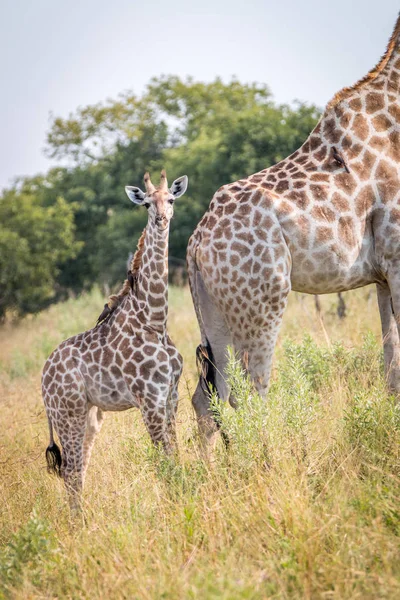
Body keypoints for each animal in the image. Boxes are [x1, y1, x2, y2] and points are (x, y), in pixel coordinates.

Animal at [41, 170, 188, 510]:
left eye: (171, 199)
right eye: (146, 203)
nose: (161, 219)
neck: (154, 320)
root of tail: (42, 380)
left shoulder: (171, 394)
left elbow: (175, 452)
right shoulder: (148, 398)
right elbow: (164, 460)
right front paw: (178, 504)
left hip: (90, 415)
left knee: (78, 469)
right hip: (68, 413)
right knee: (71, 470)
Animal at [189, 14, 400, 448]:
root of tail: (194, 245)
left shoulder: (382, 273)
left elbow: (391, 367)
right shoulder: (399, 254)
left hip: (217, 314)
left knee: (209, 397)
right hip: (263, 302)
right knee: (251, 392)